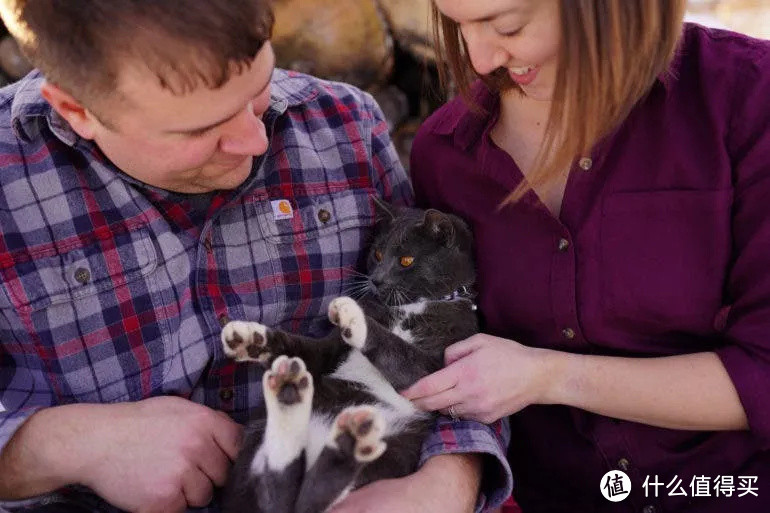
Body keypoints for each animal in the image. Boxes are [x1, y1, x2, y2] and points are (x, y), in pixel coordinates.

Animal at [219, 201, 476, 512]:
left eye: (406, 260)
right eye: (377, 254)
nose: (376, 280)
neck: (410, 309)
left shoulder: (436, 367)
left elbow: (400, 352)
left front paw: (355, 316)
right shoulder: (327, 353)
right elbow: (302, 348)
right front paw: (251, 337)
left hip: (394, 450)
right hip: (258, 431)